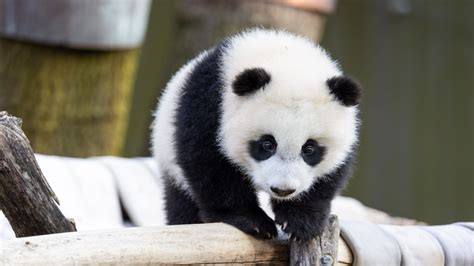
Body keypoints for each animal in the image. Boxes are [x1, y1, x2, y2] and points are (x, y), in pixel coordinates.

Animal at [151, 29, 360, 241]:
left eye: (309, 148)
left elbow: (330, 174)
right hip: (171, 164)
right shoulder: (210, 104)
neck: (284, 58)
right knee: (182, 204)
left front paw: (301, 220)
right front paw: (252, 221)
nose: (282, 190)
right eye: (267, 144)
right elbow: (209, 163)